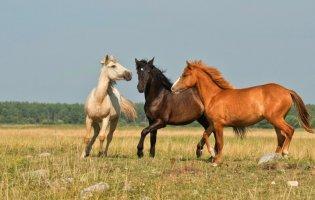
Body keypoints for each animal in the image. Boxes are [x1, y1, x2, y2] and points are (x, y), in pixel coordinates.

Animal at [173, 60, 314, 166]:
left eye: (184, 74)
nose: (173, 88)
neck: (214, 96)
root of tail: (286, 90)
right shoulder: (213, 123)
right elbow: (205, 135)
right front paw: (209, 153)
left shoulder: (218, 124)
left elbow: (219, 142)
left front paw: (216, 161)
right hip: (276, 121)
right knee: (281, 137)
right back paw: (273, 158)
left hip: (276, 119)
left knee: (290, 131)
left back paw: (285, 153)